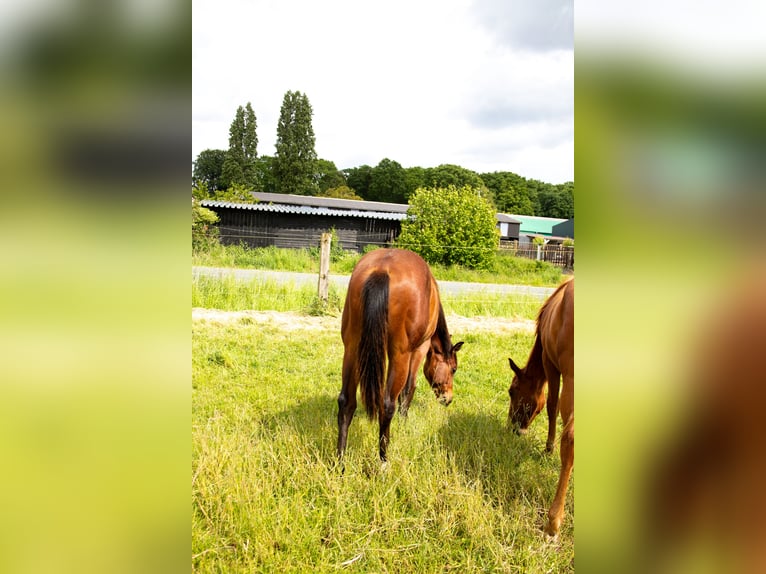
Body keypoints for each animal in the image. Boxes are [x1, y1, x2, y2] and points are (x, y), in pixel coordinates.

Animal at [336, 248, 463, 463]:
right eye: (453, 369)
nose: (448, 398)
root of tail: (381, 270)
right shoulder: (419, 350)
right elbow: (408, 388)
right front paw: (404, 423)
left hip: (352, 349)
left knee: (346, 402)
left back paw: (340, 461)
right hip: (400, 355)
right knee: (387, 404)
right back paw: (383, 461)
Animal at [508, 277, 574, 537]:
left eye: (512, 391)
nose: (513, 427)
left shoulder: (550, 363)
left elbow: (552, 406)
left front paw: (548, 448)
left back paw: (554, 520)